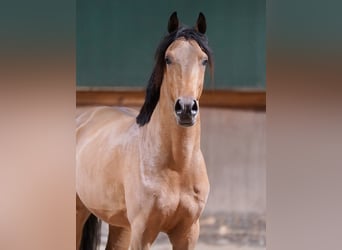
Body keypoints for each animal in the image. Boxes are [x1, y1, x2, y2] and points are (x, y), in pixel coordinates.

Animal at [76, 12, 212, 250]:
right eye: (168, 59)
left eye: (203, 60)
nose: (186, 108)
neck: (177, 167)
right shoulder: (143, 233)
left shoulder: (187, 233)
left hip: (120, 226)